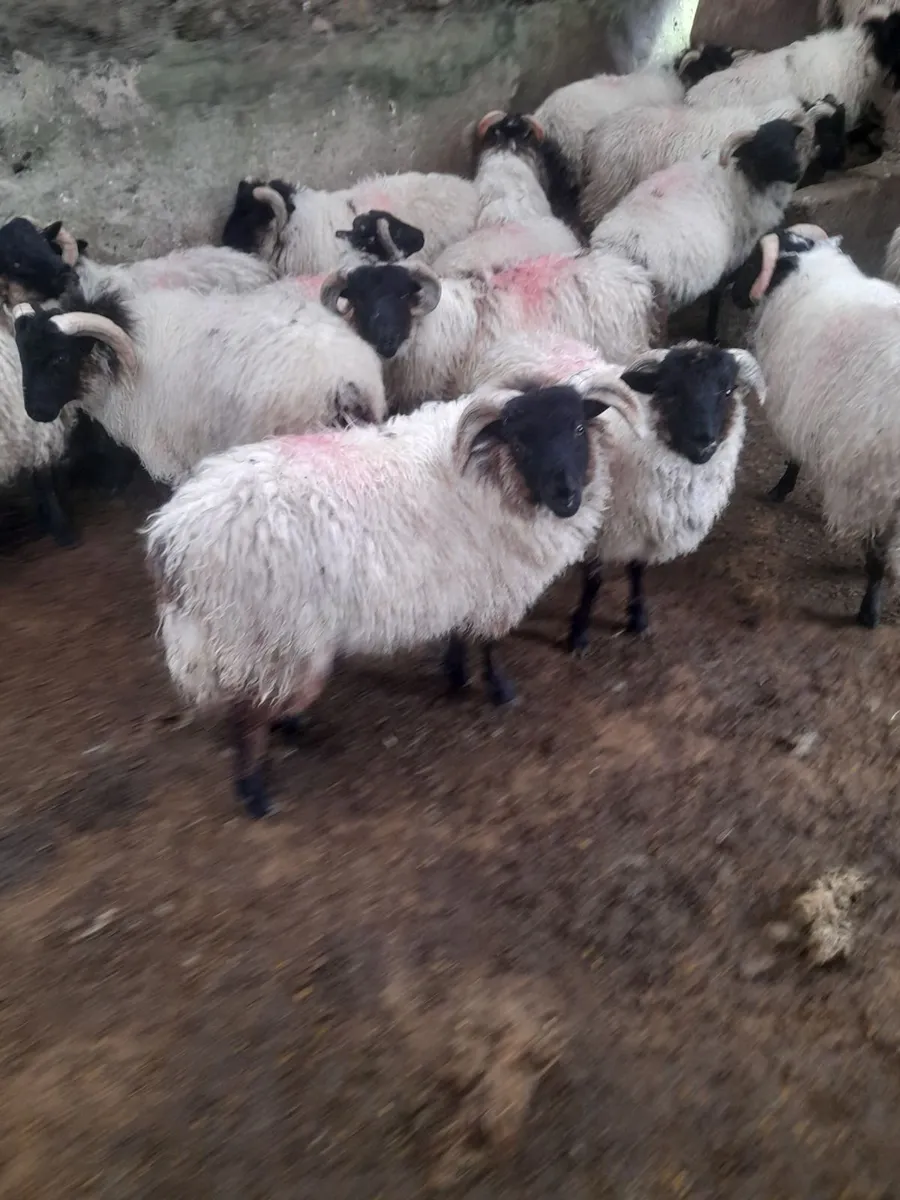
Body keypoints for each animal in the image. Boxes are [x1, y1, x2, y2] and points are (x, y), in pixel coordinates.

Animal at [144, 374, 645, 817]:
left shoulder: (461, 581)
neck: (491, 473)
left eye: (578, 428)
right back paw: (255, 795)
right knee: (244, 718)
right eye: (521, 441)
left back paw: (288, 727)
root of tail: (171, 539)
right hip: (260, 634)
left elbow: (459, 636)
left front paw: (455, 675)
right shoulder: (494, 585)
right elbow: (490, 644)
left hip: (265, 640)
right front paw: (501, 691)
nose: (568, 496)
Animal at [471, 334, 765, 645]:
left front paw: (637, 617)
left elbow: (637, 569)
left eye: (728, 390)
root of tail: (529, 336)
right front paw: (579, 631)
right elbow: (593, 581)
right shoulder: (597, 528)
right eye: (671, 391)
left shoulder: (643, 525)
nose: (704, 442)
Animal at [587, 111, 831, 336]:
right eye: (766, 148)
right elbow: (717, 296)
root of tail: (611, 249)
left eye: (791, 141)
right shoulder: (732, 258)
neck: (745, 179)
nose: (796, 171)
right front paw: (712, 334)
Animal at [728, 222, 900, 627]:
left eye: (754, 261)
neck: (809, 275)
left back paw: (868, 610)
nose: (730, 291)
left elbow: (795, 455)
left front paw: (780, 488)